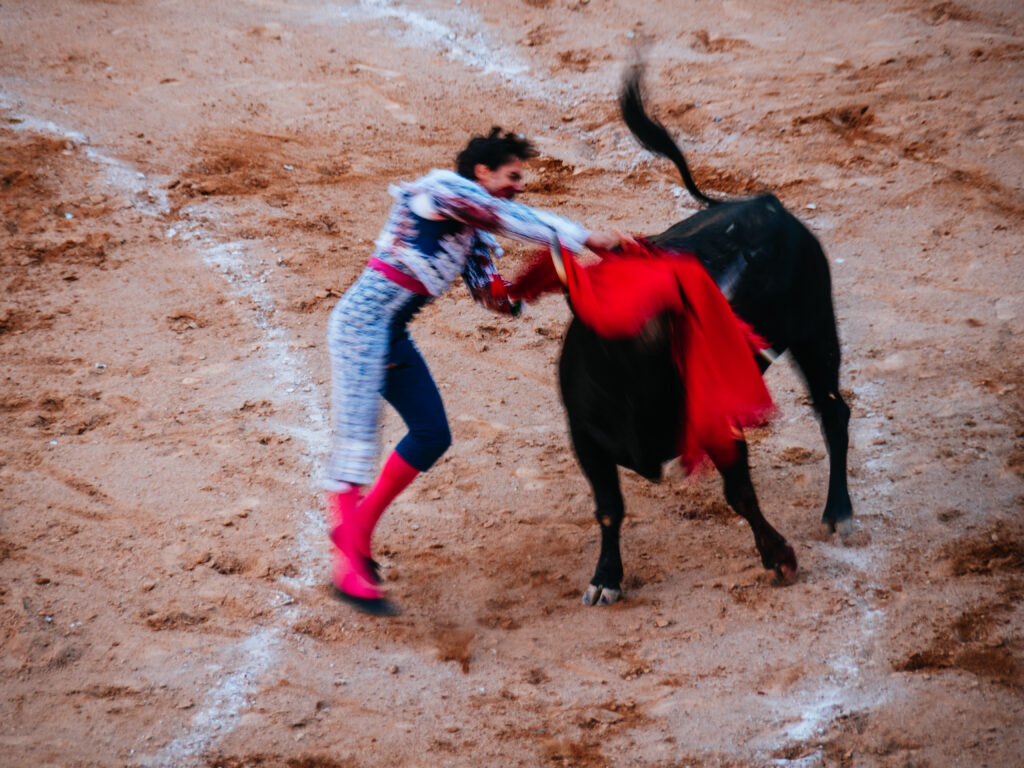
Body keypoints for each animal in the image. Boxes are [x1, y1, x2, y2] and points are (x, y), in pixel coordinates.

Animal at [557, 70, 851, 606]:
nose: (731, 295)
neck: (636, 389)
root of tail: (767, 202)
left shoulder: (718, 421)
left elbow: (740, 493)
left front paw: (780, 558)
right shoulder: (585, 435)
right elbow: (609, 507)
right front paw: (606, 578)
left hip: (816, 329)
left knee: (833, 411)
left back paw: (839, 513)